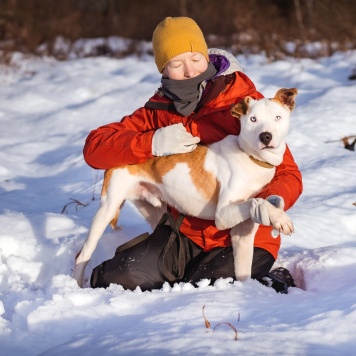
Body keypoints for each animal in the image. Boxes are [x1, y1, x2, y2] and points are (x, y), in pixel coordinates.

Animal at [74, 88, 298, 286]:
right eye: (253, 119)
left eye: (277, 117)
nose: (265, 136)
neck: (250, 158)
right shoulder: (223, 214)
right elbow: (258, 201)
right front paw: (279, 218)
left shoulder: (242, 232)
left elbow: (243, 270)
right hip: (108, 207)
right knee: (82, 255)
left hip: (154, 210)